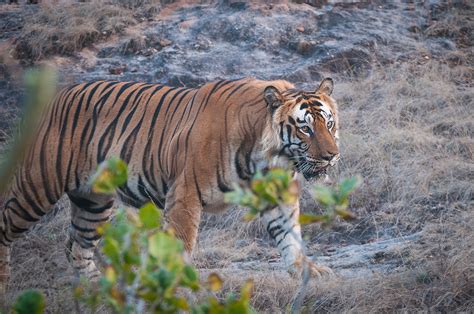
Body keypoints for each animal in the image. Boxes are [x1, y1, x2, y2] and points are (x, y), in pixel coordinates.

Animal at [0, 77, 340, 294]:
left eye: (329, 123)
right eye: (305, 129)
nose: (331, 155)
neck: (269, 158)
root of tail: (53, 97)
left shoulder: (277, 194)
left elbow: (290, 235)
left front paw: (308, 272)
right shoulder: (185, 195)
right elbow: (180, 243)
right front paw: (175, 285)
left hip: (92, 202)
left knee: (77, 247)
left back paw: (99, 289)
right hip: (37, 187)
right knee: (6, 225)